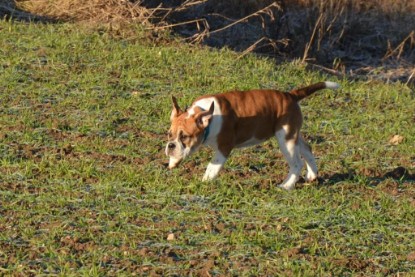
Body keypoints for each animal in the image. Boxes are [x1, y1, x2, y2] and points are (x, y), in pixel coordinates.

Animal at [166, 81, 342, 189]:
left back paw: (286, 186)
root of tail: (291, 95)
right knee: (307, 149)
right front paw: (173, 162)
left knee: (297, 163)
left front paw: (205, 182)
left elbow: (212, 166)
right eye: (169, 135)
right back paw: (312, 175)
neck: (206, 115)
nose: (170, 146)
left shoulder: (224, 147)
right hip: (293, 134)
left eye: (185, 137)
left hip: (285, 140)